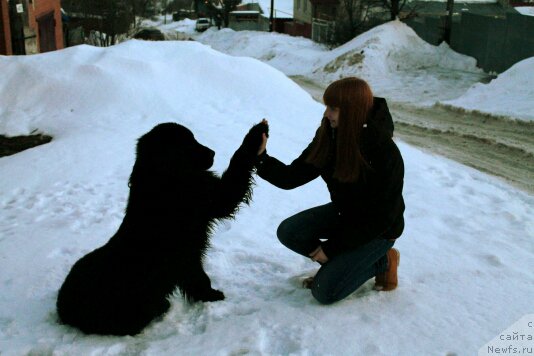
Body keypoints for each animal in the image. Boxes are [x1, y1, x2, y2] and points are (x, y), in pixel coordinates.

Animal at [55, 121, 268, 336]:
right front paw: (256, 134)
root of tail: (62, 306)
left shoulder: (189, 256)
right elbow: (237, 164)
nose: (213, 152)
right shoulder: (209, 200)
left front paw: (208, 295)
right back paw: (161, 307)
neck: (162, 177)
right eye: (188, 143)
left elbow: (197, 278)